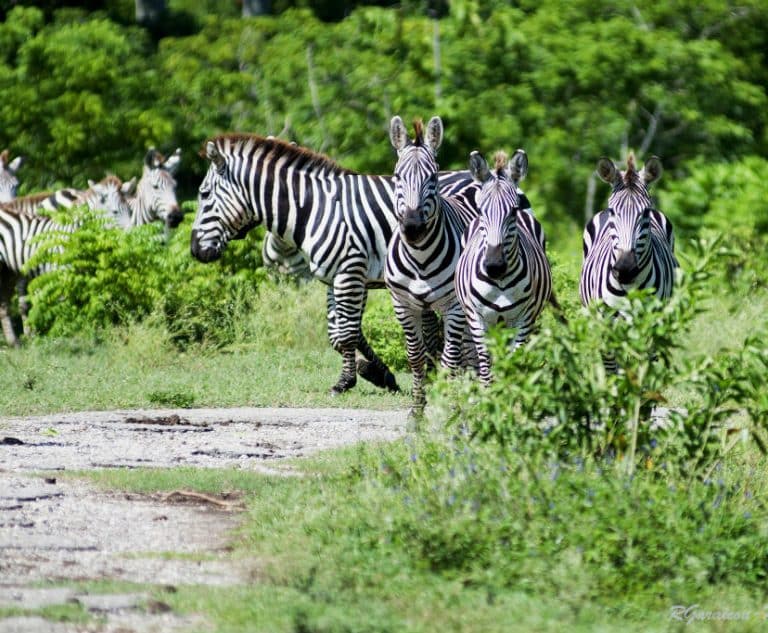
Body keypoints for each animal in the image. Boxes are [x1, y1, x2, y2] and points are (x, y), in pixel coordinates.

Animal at [0, 174, 134, 346]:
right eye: (115, 212)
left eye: (130, 211)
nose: (132, 235)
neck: (74, 234)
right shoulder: (61, 274)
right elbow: (65, 304)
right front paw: (68, 333)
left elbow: (88, 302)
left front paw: (89, 331)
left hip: (7, 271)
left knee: (3, 304)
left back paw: (14, 342)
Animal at [384, 115, 480, 410]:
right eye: (397, 176)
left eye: (433, 177)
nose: (413, 227)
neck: (420, 259)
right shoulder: (403, 305)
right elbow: (417, 356)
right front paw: (417, 410)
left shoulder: (454, 308)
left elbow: (449, 361)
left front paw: (445, 408)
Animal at [452, 149, 556, 386]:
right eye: (481, 210)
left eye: (513, 211)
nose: (494, 266)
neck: (499, 283)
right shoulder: (477, 319)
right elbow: (485, 364)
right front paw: (489, 392)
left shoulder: (523, 319)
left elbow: (513, 361)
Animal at [580, 152, 676, 370]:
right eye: (612, 211)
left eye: (646, 212)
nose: (625, 269)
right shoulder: (606, 324)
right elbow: (610, 368)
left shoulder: (651, 323)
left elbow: (646, 366)